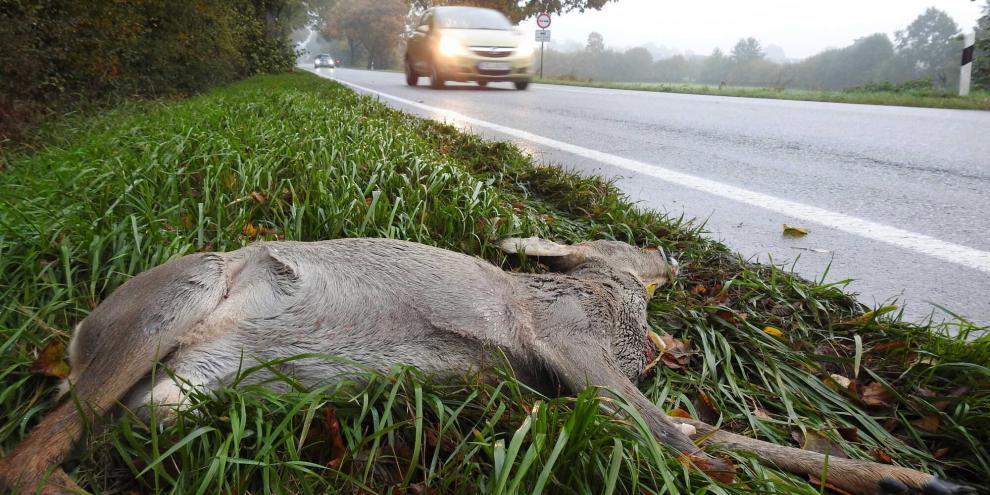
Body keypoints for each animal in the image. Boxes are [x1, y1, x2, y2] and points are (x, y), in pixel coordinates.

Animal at [0, 237, 973, 494]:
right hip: (176, 300)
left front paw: (913, 477)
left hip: (181, 392)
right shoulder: (562, 338)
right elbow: (674, 434)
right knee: (30, 455)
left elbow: (693, 424)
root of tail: (78, 331)